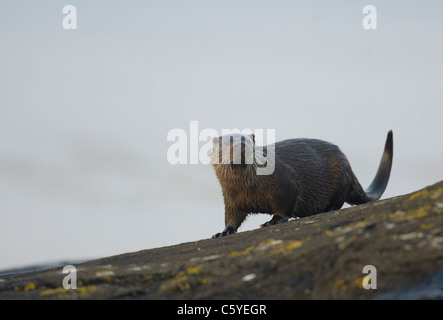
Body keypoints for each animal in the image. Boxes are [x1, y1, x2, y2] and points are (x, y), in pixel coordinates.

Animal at [212, 130, 396, 238]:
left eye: (249, 141)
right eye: (227, 142)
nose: (242, 145)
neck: (248, 187)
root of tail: (348, 164)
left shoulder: (286, 184)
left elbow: (284, 205)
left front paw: (273, 221)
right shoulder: (230, 199)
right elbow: (231, 217)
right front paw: (223, 232)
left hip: (341, 174)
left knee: (338, 201)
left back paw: (325, 209)